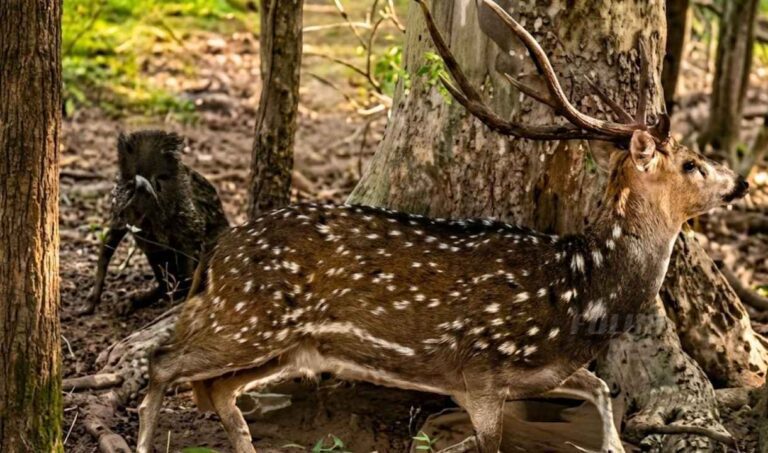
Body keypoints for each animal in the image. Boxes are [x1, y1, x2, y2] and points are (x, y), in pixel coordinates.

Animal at [136, 1, 749, 452]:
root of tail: (216, 255)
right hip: (250, 319)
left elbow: (600, 387)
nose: (741, 182)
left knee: (216, 390)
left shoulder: (542, 373)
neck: (582, 294)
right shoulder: (480, 374)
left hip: (286, 345)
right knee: (164, 361)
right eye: (691, 164)